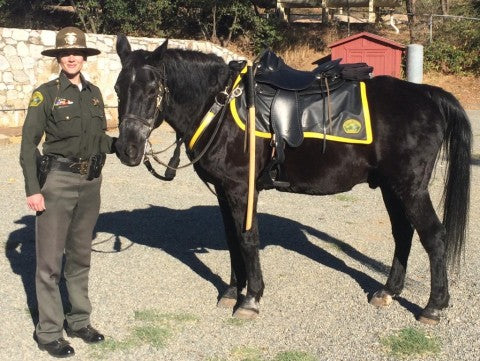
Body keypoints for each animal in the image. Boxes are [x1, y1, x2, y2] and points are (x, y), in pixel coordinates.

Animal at [114, 35, 470, 324]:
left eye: (152, 89)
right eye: (118, 89)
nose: (127, 149)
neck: (220, 106)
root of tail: (426, 94)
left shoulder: (241, 189)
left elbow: (247, 238)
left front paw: (251, 298)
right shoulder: (223, 191)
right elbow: (232, 239)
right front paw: (231, 291)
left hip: (411, 188)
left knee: (433, 236)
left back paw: (433, 306)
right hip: (391, 187)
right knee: (403, 233)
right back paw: (389, 291)